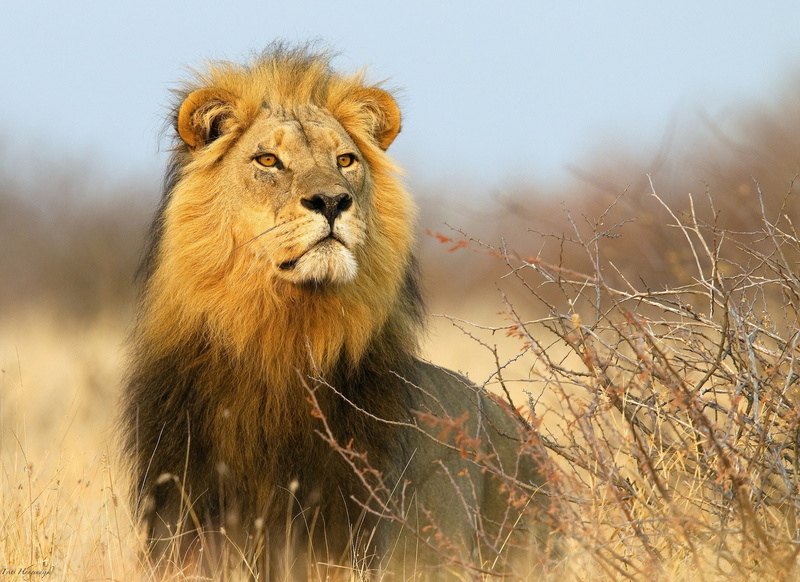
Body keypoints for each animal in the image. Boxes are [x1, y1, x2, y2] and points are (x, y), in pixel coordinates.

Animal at [121, 44, 551, 580]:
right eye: (268, 160)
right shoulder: (184, 510)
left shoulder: (346, 524)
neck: (282, 337)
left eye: (345, 160)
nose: (331, 200)